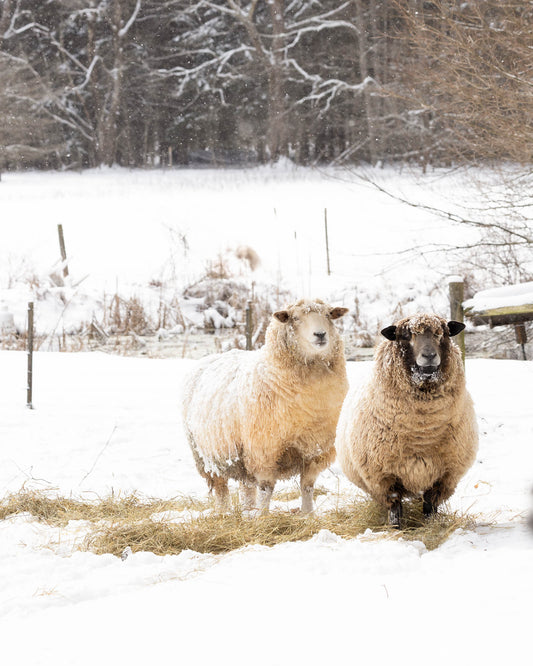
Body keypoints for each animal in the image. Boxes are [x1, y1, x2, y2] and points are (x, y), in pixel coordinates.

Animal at [182, 299, 349, 514]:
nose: (320, 334)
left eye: (329, 315)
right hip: (206, 454)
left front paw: (308, 514)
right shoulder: (264, 449)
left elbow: (307, 486)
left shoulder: (315, 449)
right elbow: (266, 488)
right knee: (221, 487)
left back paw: (248, 510)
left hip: (242, 454)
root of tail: (211, 357)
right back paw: (224, 512)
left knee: (246, 486)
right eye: (295, 318)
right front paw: (263, 516)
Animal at [336, 313, 478, 528]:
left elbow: (429, 506)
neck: (422, 432)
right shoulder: (383, 477)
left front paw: (430, 526)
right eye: (406, 336)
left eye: (441, 333)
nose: (429, 356)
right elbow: (395, 508)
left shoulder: (444, 476)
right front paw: (396, 529)